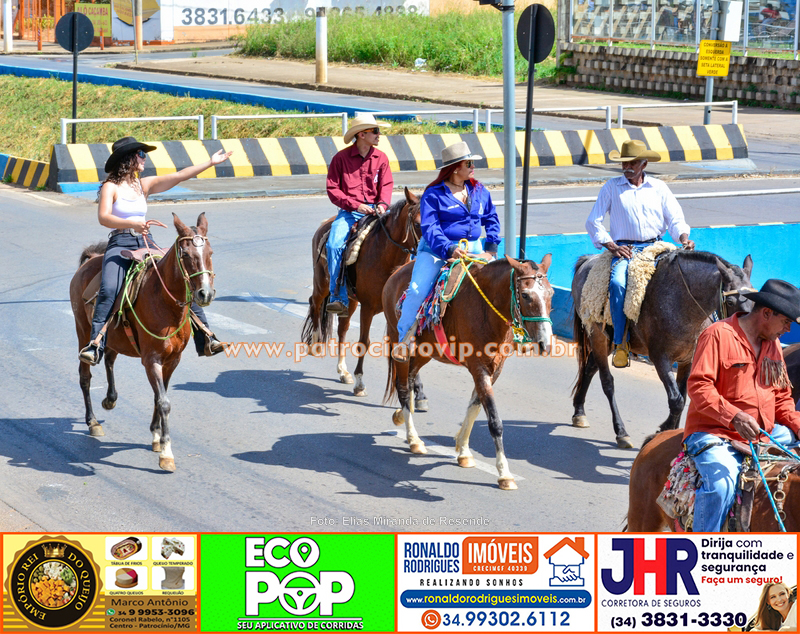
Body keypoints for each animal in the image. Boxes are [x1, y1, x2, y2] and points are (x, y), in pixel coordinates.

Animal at [69, 213, 215, 472]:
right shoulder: (151, 360)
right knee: (85, 375)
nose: (204, 294)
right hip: (82, 330)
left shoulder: (172, 360)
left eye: (210, 252)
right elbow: (164, 401)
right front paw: (166, 452)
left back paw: (110, 399)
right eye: (186, 254)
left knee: (109, 359)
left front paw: (156, 435)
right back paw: (93, 421)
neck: (164, 301)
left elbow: (160, 396)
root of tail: (92, 259)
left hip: (115, 338)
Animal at [302, 187, 428, 406]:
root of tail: (324, 225)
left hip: (349, 300)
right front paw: (360, 384)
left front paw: (416, 391)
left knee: (342, 329)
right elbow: (364, 342)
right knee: (314, 304)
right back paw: (316, 344)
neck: (386, 255)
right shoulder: (368, 307)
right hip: (322, 284)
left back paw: (343, 371)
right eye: (419, 223)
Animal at [383, 254, 553, 490]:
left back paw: (403, 419)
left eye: (551, 293)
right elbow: (494, 421)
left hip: (424, 353)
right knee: (402, 388)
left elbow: (474, 407)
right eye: (526, 295)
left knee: (408, 382)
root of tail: (396, 273)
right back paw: (414, 439)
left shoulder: (494, 369)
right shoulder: (478, 368)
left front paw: (463, 451)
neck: (487, 309)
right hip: (401, 347)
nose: (544, 343)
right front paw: (504, 473)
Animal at [571, 250, 754, 448]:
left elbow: (683, 396)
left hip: (609, 341)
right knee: (607, 382)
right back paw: (621, 432)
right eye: (730, 301)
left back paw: (579, 412)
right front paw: (663, 431)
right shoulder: (660, 358)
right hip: (596, 335)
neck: (682, 301)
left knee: (589, 368)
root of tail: (588, 260)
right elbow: (676, 401)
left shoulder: (688, 359)